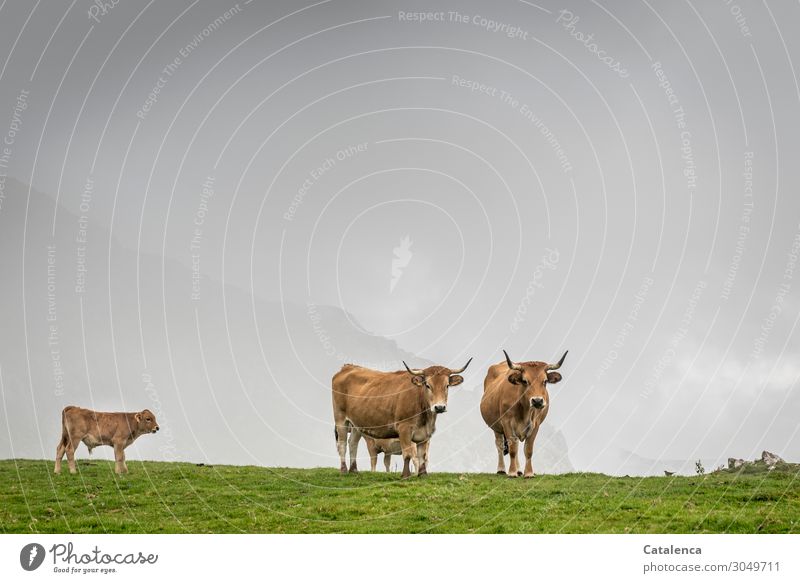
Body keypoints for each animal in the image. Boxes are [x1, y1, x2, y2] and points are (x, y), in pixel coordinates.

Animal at [330, 360, 468, 480]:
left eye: (447, 386)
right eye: (428, 385)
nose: (439, 407)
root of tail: (348, 367)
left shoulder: (425, 433)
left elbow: (422, 455)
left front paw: (422, 474)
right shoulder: (404, 429)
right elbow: (407, 454)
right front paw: (405, 475)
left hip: (356, 424)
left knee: (353, 443)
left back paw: (354, 470)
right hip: (340, 419)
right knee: (342, 444)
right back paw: (343, 470)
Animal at [478, 352, 564, 480]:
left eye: (545, 381)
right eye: (525, 381)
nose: (537, 401)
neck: (525, 411)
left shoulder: (536, 425)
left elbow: (528, 450)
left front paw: (528, 473)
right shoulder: (506, 423)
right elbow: (513, 449)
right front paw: (512, 472)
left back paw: (519, 470)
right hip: (496, 427)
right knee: (500, 445)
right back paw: (501, 469)